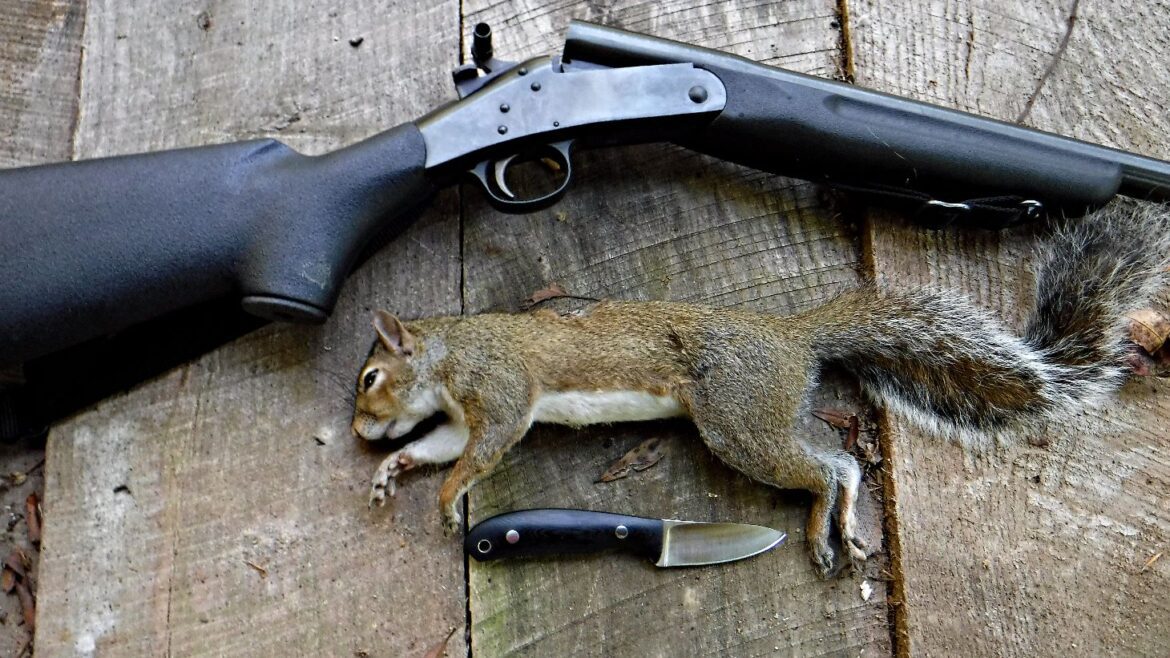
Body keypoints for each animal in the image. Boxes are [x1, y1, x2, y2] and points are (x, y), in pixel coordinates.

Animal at [350, 199, 1170, 576]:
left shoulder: (501, 390)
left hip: (737, 422)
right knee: (840, 462)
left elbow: (481, 450)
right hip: (764, 419)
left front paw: (445, 496)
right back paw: (842, 528)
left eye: (370, 377)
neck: (451, 351)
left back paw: (819, 529)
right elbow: (443, 443)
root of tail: (794, 340)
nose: (359, 431)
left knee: (824, 469)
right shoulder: (462, 412)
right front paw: (395, 467)